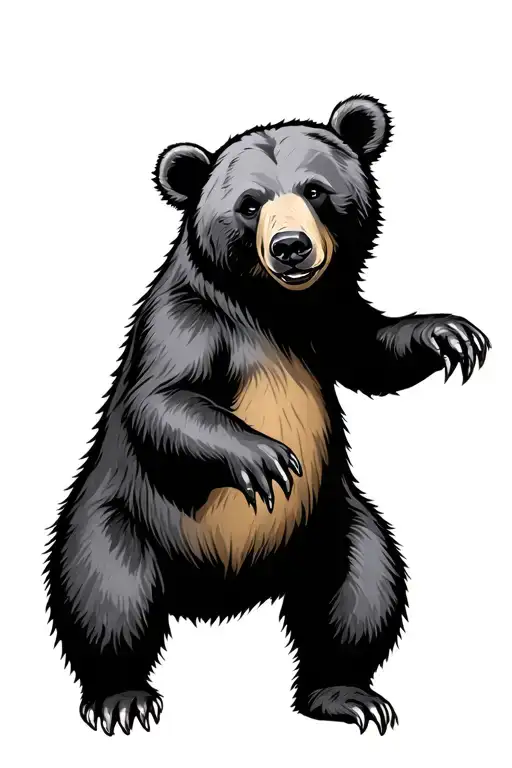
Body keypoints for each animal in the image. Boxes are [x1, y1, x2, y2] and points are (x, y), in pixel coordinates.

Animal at [44, 95, 490, 737]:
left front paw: (448, 333)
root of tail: (218, 597)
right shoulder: (189, 321)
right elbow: (165, 398)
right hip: (123, 515)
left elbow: (372, 353)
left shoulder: (326, 322)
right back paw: (121, 696)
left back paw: (347, 693)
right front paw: (264, 456)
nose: (290, 246)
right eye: (250, 203)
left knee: (362, 588)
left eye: (316, 190)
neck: (273, 310)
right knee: (107, 592)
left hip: (330, 523)